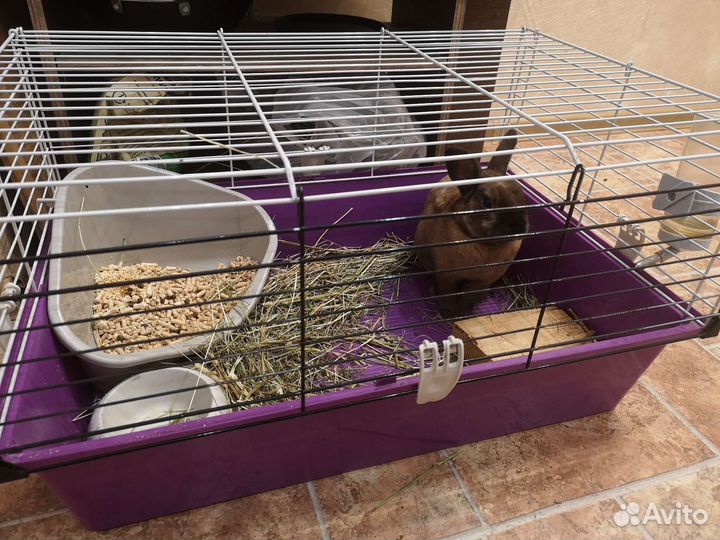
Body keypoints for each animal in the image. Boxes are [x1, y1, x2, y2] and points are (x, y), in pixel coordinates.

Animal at [415, 129, 528, 318]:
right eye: (487, 202)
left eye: (522, 197)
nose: (519, 227)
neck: (482, 243)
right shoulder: (447, 276)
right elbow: (447, 293)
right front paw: (447, 313)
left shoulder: (480, 281)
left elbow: (468, 297)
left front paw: (464, 313)